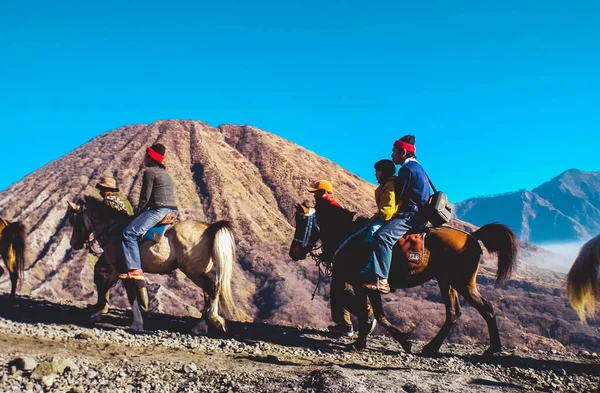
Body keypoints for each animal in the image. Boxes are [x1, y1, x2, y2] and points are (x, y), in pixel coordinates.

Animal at [67, 198, 240, 332]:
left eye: (75, 220)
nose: (73, 244)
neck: (113, 230)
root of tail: (209, 228)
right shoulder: (116, 270)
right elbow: (106, 285)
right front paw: (96, 313)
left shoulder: (124, 270)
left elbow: (131, 295)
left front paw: (137, 324)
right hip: (201, 272)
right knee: (210, 292)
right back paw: (206, 323)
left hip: (194, 272)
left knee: (213, 289)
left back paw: (208, 322)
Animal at [288, 199, 516, 356]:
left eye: (301, 222)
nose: (294, 252)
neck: (349, 236)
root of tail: (472, 236)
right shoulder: (367, 287)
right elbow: (374, 313)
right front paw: (392, 341)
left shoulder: (363, 285)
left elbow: (369, 312)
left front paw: (365, 342)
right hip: (447, 282)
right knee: (453, 313)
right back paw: (431, 347)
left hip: (463, 283)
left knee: (486, 308)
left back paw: (493, 349)